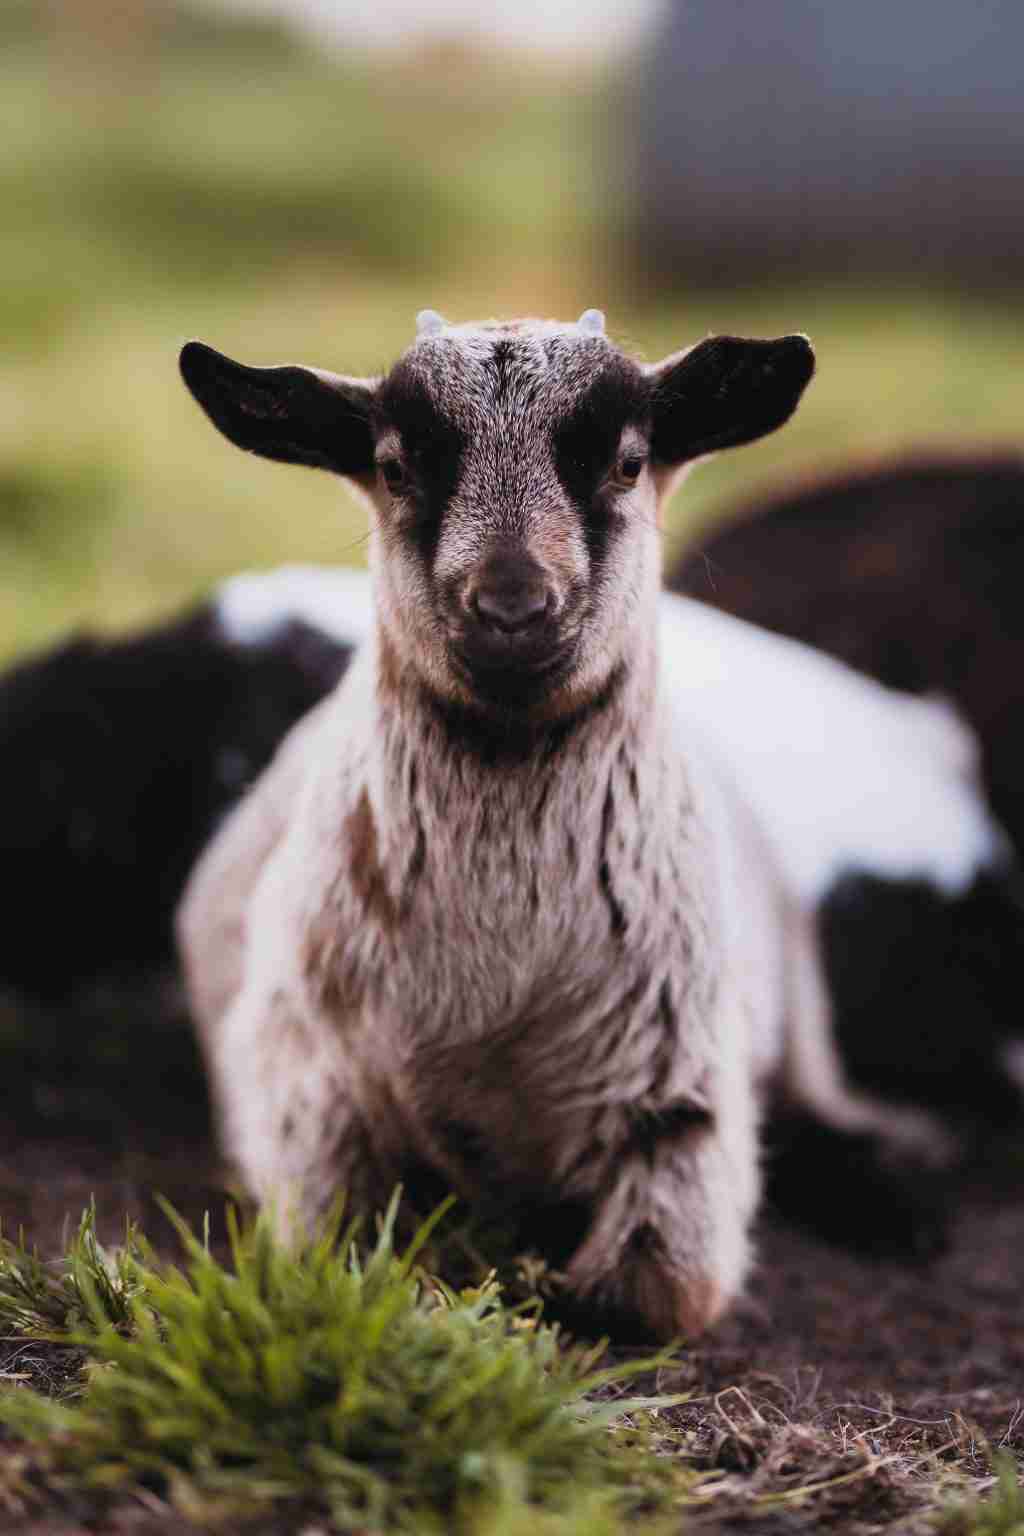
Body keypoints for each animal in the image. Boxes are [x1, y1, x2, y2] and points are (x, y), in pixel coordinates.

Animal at [175, 313, 948, 1338]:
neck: (496, 988)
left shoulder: (684, 1109)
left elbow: (637, 1298)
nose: (511, 606)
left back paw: (899, 1198)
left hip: (795, 993)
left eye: (627, 462)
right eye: (394, 466)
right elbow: (355, 1260)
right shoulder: (307, 1094)